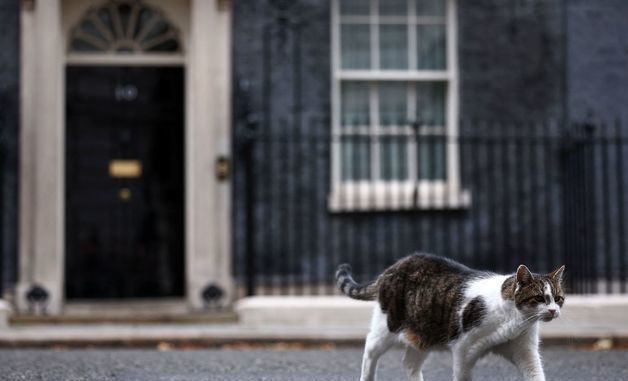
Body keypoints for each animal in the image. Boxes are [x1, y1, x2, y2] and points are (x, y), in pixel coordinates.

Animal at [336, 252, 568, 380]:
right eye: (539, 298)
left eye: (558, 298)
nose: (553, 311)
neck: (515, 321)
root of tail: (393, 267)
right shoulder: (464, 350)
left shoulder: (524, 351)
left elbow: (536, 374)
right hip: (388, 326)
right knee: (369, 349)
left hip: (423, 334)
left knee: (409, 363)